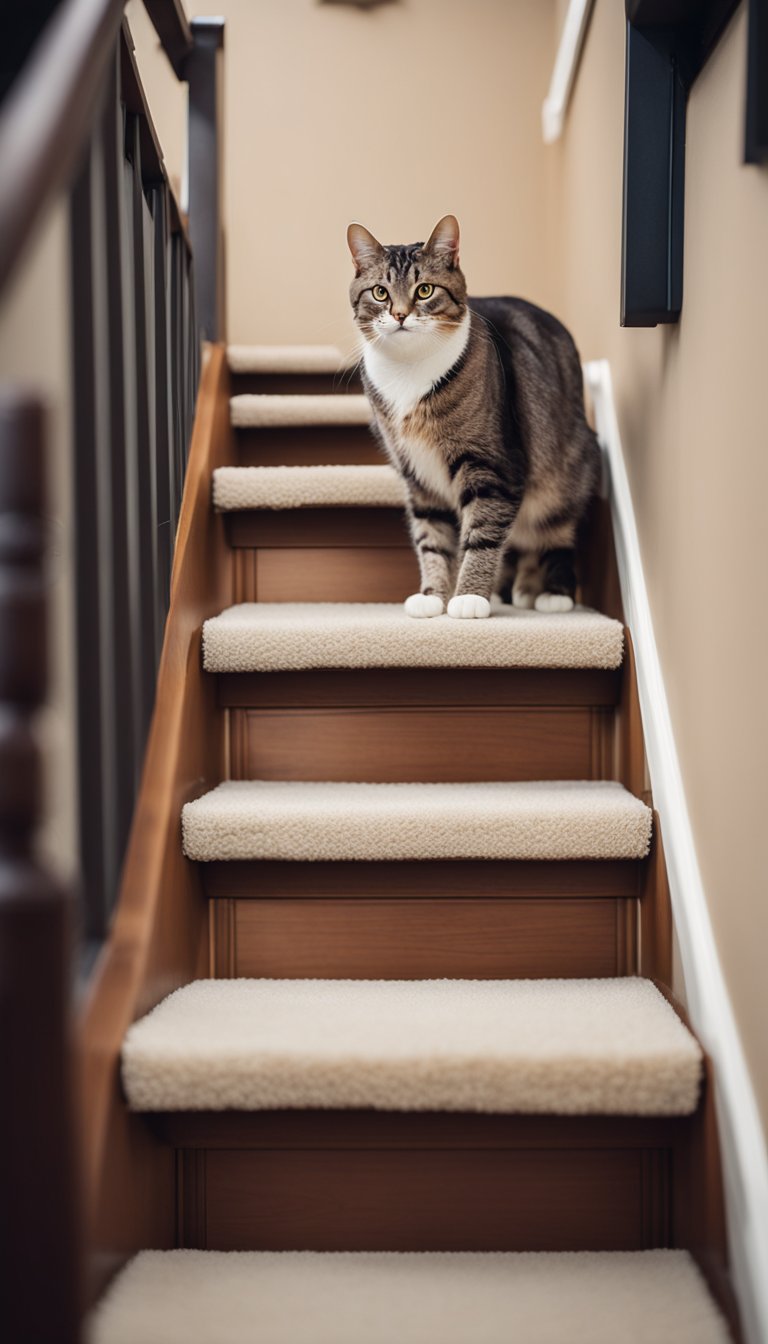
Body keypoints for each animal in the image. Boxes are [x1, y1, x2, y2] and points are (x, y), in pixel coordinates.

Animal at [349, 215, 599, 618]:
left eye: (424, 290)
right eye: (380, 293)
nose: (400, 315)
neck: (408, 369)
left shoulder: (493, 466)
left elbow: (481, 535)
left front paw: (469, 597)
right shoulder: (417, 476)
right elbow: (432, 538)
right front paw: (433, 595)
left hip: (563, 476)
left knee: (553, 533)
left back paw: (550, 593)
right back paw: (517, 589)